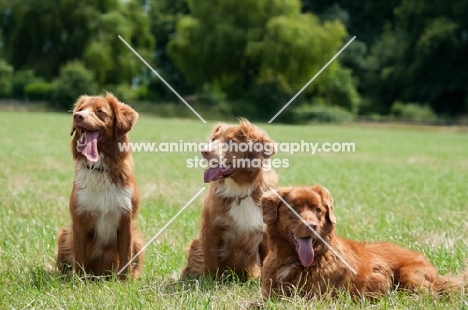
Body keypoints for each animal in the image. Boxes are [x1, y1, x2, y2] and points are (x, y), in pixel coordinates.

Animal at [55, 93, 143, 280]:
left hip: (139, 239)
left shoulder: (126, 219)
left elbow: (125, 257)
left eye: (100, 112)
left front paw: (123, 283)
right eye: (81, 109)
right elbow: (79, 256)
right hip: (64, 234)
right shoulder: (79, 219)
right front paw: (79, 281)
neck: (100, 168)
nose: (77, 116)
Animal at [181, 119, 278, 280]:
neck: (239, 191)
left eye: (231, 142)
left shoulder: (264, 235)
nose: (204, 151)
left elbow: (266, 263)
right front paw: (210, 282)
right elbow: (210, 263)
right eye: (213, 139)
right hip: (195, 244)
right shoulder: (211, 230)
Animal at [262, 185, 466, 300]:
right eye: (293, 209)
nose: (312, 226)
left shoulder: (314, 298)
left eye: (318, 210)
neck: (294, 262)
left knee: (431, 295)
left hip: (411, 276)